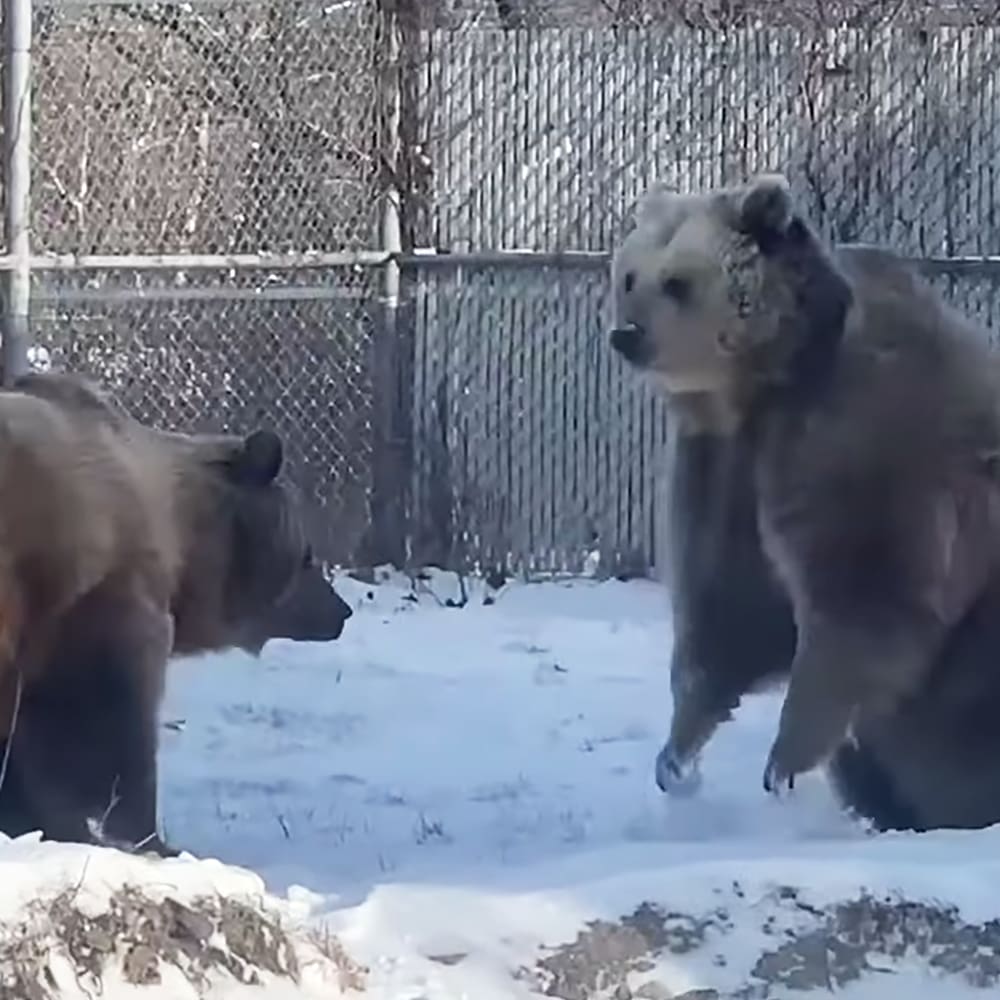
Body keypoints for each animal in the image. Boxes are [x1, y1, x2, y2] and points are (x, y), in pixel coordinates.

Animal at [609, 172, 1000, 830]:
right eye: (630, 277)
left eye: (678, 282)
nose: (626, 335)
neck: (762, 385)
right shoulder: (726, 468)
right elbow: (733, 608)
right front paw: (678, 756)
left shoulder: (858, 442)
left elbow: (864, 601)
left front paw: (784, 763)